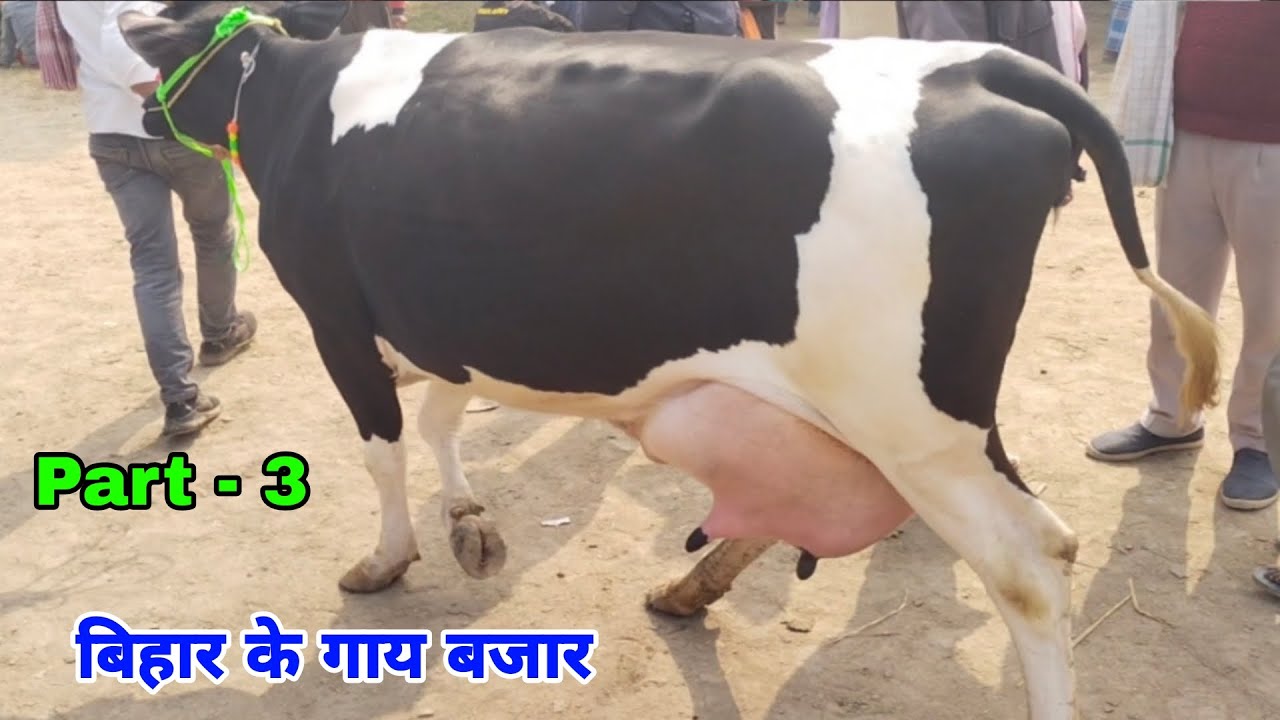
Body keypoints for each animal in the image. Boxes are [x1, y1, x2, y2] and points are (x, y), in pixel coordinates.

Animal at [117, 2, 1220, 718]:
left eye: (161, 56)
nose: (136, 116)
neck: (297, 95)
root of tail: (976, 64)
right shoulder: (443, 316)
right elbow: (439, 414)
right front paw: (469, 519)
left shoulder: (339, 314)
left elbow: (384, 445)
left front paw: (389, 559)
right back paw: (688, 591)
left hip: (916, 422)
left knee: (1032, 563)